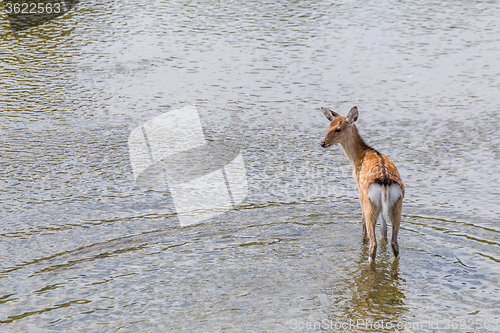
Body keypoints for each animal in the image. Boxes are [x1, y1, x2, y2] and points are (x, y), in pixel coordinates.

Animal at [320, 105, 406, 264]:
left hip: (369, 203)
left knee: (373, 242)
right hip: (397, 205)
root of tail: (385, 181)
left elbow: (363, 223)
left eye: (338, 129)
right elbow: (383, 230)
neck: (358, 156)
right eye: (328, 126)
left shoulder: (359, 192)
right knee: (394, 242)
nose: (322, 143)